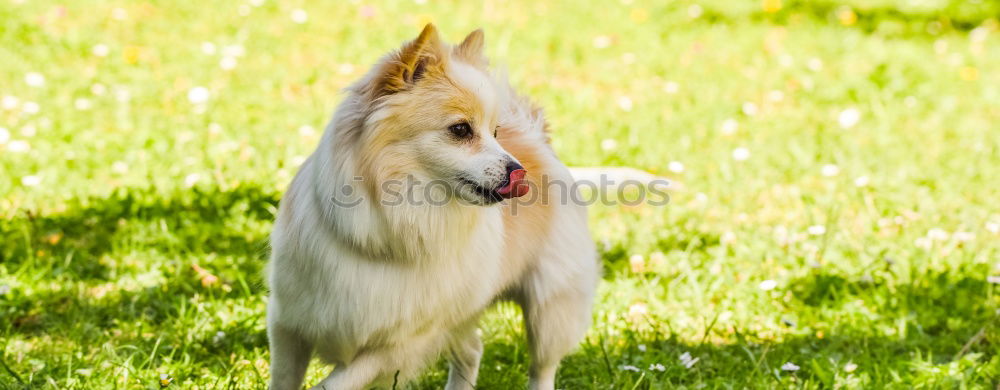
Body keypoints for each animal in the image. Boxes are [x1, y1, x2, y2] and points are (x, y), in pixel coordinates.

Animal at [266, 25, 596, 390]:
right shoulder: (288, 324)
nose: (519, 171)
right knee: (473, 350)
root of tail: (537, 141)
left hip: (550, 312)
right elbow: (284, 379)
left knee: (542, 366)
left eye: (495, 132)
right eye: (461, 130)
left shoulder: (395, 346)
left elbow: (332, 384)